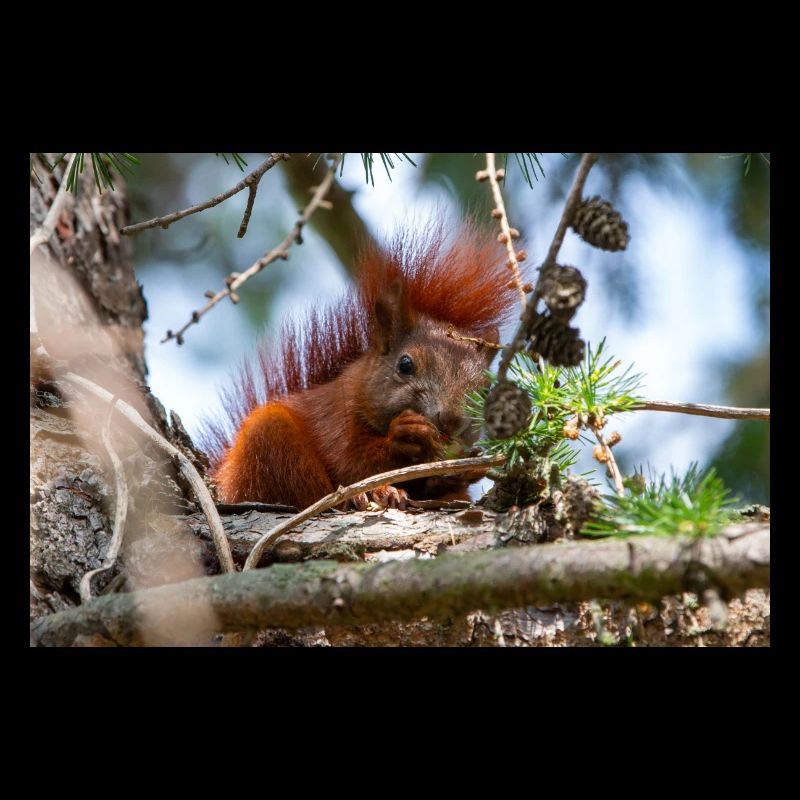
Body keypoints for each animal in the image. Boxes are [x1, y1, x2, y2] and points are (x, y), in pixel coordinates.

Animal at [201, 221, 522, 510]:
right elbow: (351, 462)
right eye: (405, 365)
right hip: (268, 443)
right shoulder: (334, 418)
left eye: (485, 390)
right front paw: (405, 435)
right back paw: (368, 495)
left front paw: (469, 467)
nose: (452, 419)